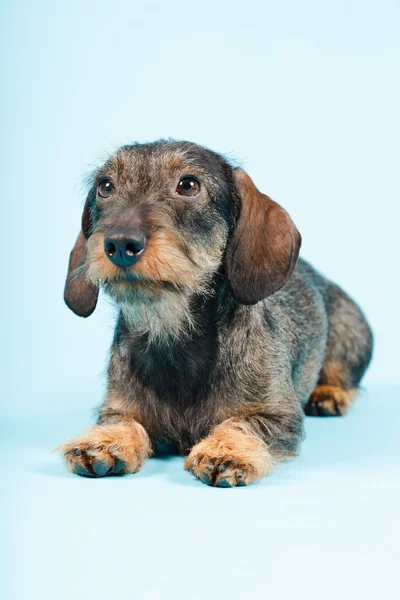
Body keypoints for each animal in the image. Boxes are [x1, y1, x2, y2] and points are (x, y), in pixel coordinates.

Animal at [57, 141, 376, 488]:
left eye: (188, 185)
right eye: (105, 186)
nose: (119, 243)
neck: (175, 337)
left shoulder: (279, 416)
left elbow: (242, 423)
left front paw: (227, 450)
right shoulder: (117, 406)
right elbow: (122, 420)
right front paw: (106, 440)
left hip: (348, 336)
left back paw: (329, 394)